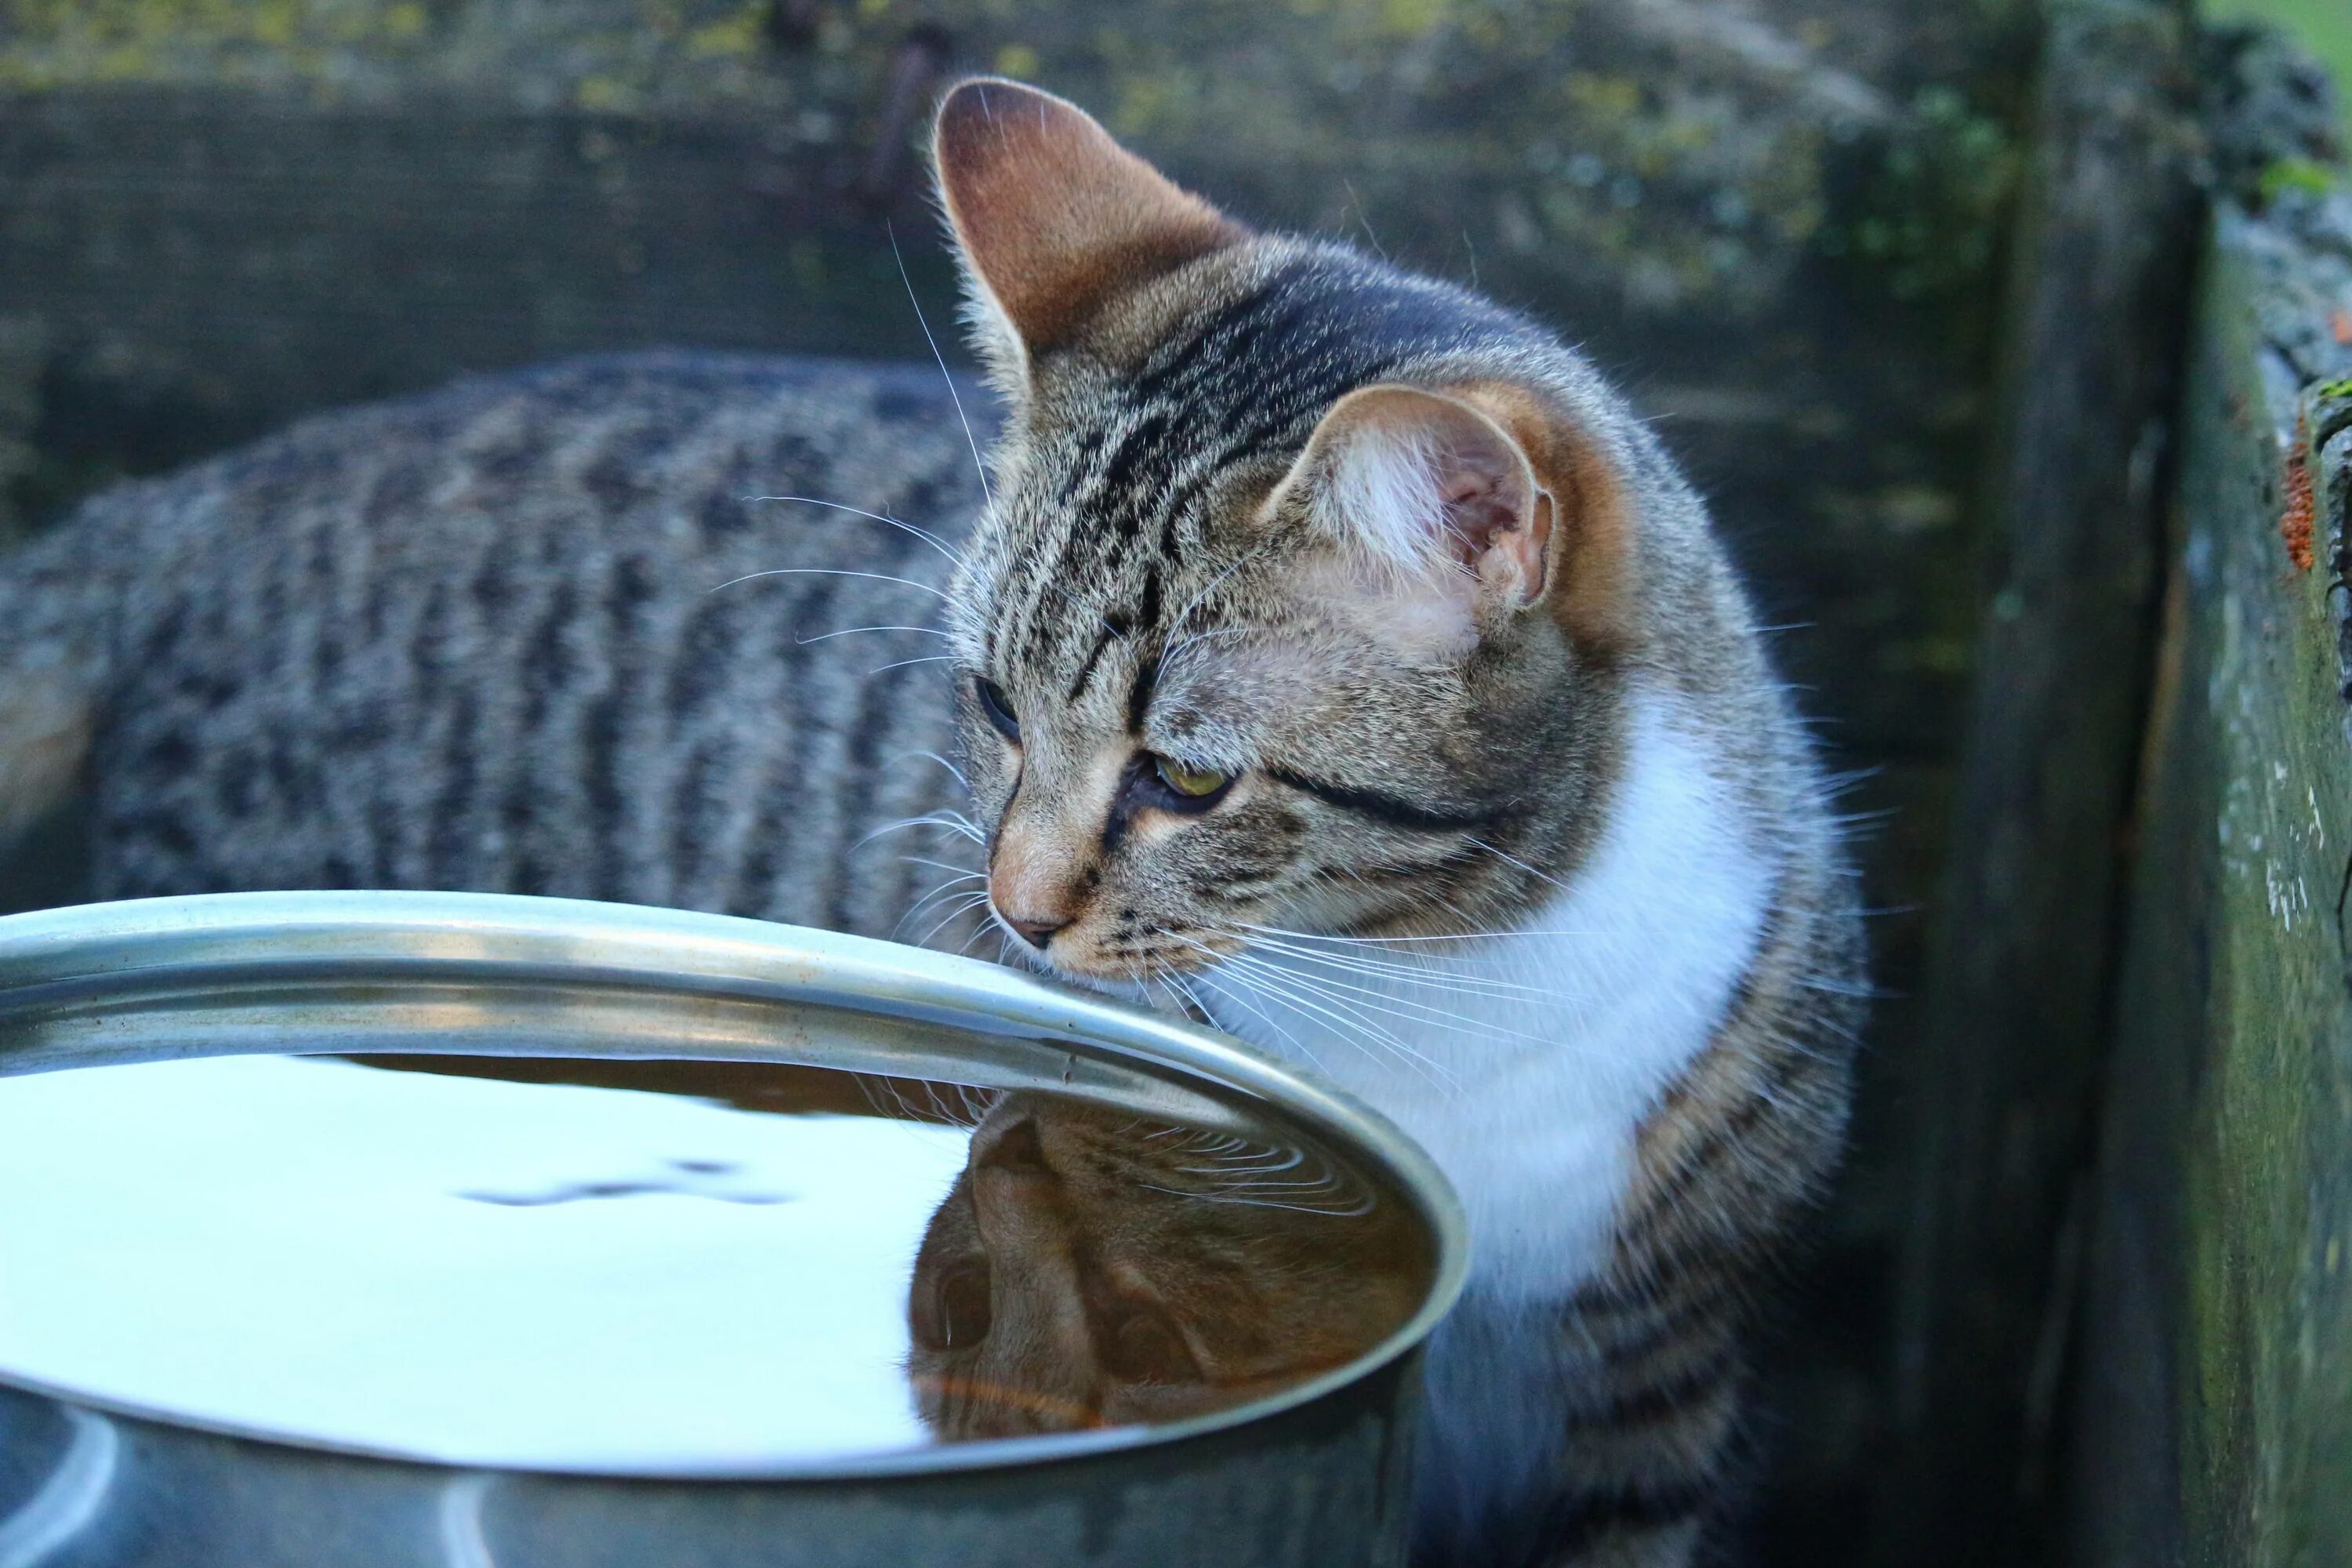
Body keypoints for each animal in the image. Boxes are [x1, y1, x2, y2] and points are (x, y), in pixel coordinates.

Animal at [4, 76, 1872, 1568]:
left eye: (1190, 780)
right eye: (993, 709)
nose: (1018, 909)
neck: (1443, 978)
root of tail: (204, 496)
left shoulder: (1658, 1390)